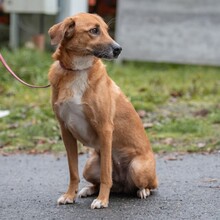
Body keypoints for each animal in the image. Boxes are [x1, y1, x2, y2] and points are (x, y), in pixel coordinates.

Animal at [48, 12, 158, 209]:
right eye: (94, 30)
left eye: (107, 30)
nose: (119, 49)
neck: (77, 71)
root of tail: (123, 185)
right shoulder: (65, 131)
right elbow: (73, 172)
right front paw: (70, 195)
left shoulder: (105, 128)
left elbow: (106, 173)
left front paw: (102, 200)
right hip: (90, 166)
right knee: (101, 182)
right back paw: (89, 189)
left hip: (137, 168)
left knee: (149, 185)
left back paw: (142, 191)